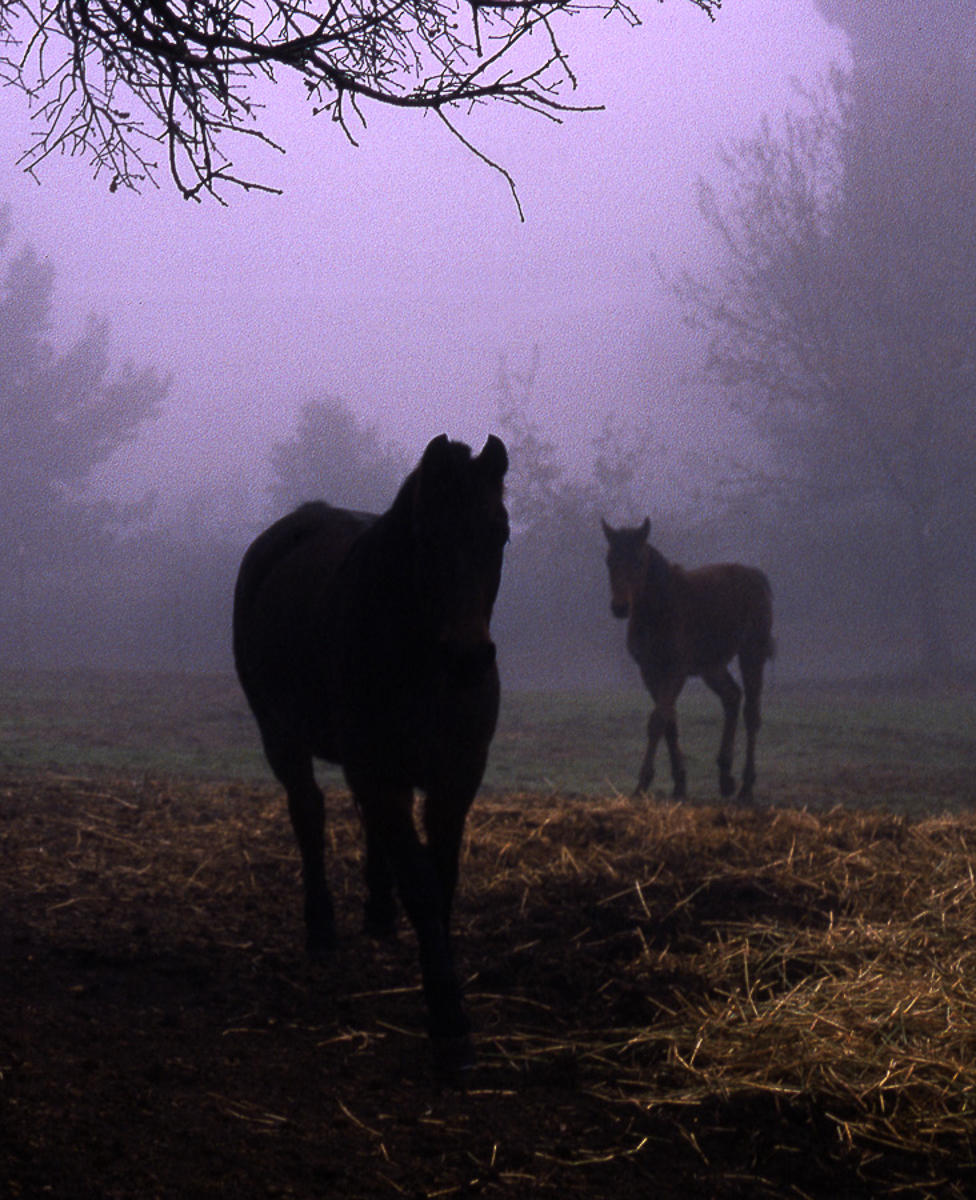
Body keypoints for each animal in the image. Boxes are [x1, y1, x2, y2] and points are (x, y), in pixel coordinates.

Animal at [234, 434, 511, 1070]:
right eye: (425, 535)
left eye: (501, 533)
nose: (468, 657)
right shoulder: (377, 771)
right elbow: (423, 883)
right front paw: (448, 1018)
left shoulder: (456, 777)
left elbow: (440, 877)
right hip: (282, 737)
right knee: (309, 813)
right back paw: (322, 927)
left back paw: (380, 913)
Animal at [597, 520, 773, 801]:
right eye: (609, 560)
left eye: (638, 560)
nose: (620, 607)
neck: (659, 610)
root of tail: (756, 577)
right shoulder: (649, 671)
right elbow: (669, 721)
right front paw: (679, 784)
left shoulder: (675, 671)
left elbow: (658, 720)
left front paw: (642, 785)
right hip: (712, 666)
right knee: (732, 697)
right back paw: (725, 777)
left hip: (751, 652)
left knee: (751, 713)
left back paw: (746, 787)